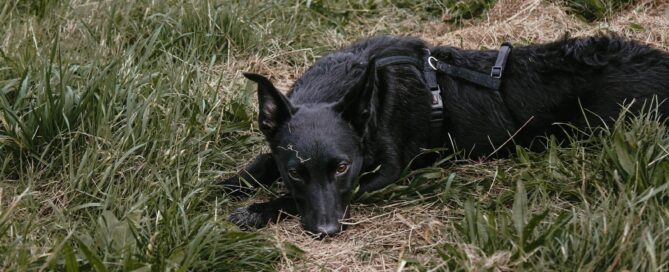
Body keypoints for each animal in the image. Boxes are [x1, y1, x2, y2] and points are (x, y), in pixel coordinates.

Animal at [224, 35, 668, 236]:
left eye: (342, 168)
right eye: (296, 172)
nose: (327, 231)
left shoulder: (386, 172)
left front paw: (259, 209)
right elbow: (259, 164)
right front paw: (227, 185)